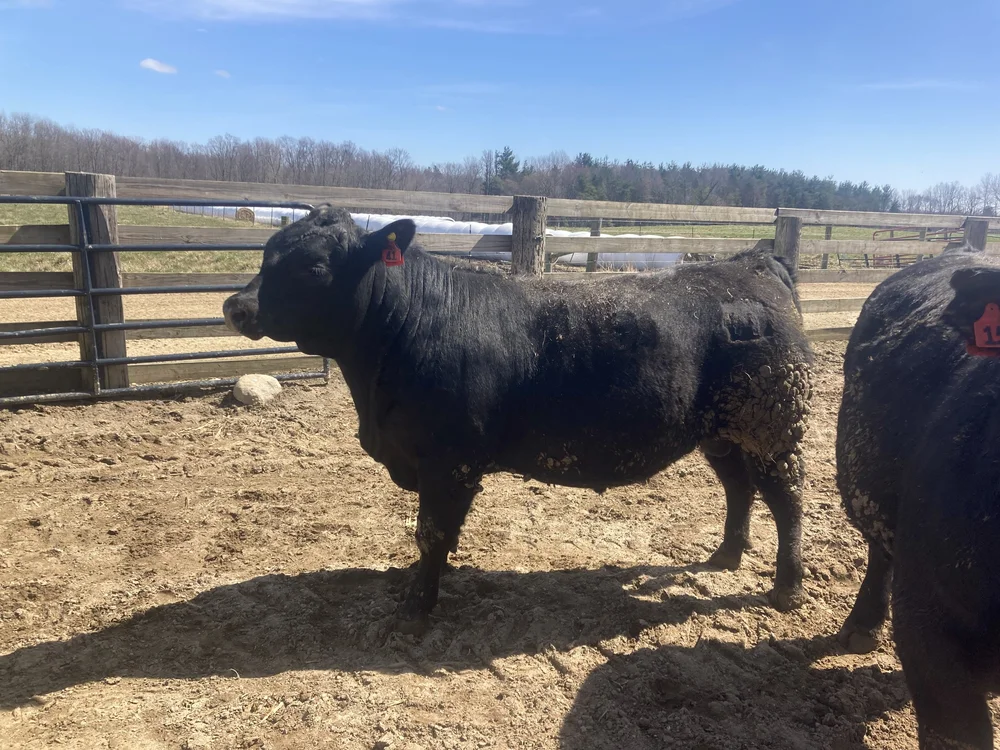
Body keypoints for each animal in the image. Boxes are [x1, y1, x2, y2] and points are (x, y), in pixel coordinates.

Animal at [223, 205, 814, 632]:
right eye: (269, 252)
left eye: (314, 266)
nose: (236, 306)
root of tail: (752, 265)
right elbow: (438, 535)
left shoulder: (450, 463)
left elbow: (430, 532)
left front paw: (416, 607)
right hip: (725, 431)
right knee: (739, 488)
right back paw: (726, 555)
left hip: (773, 426)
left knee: (785, 499)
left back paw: (786, 587)